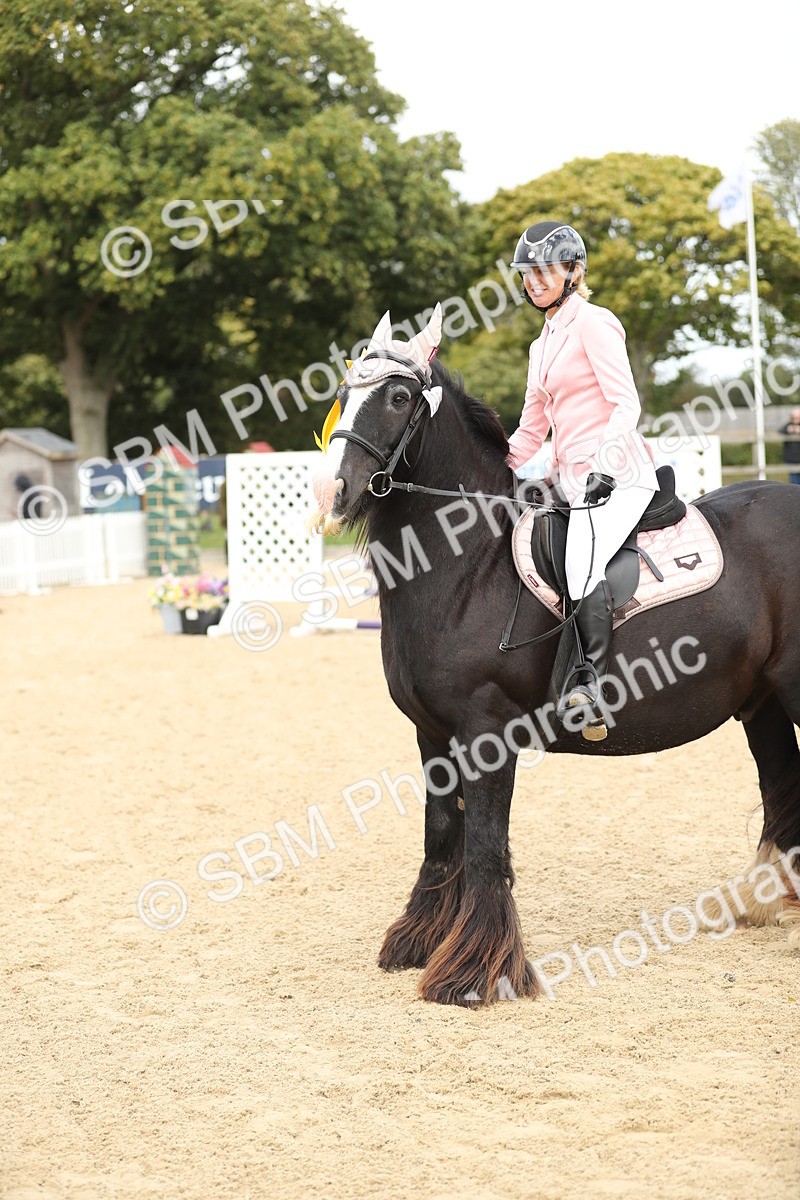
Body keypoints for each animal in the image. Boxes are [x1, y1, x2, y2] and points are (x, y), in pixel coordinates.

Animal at [311, 346, 800, 1008]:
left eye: (398, 397)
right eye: (343, 392)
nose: (331, 491)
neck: (470, 564)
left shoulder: (486, 732)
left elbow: (484, 843)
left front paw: (473, 974)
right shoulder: (432, 736)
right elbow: (441, 835)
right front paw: (418, 942)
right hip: (762, 702)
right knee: (781, 784)